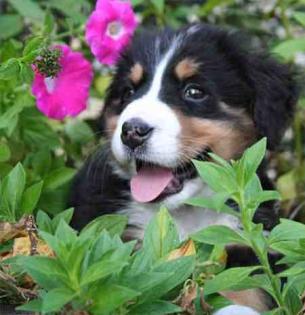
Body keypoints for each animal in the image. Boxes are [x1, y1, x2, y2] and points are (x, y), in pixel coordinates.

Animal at [68, 24, 296, 314]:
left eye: (194, 92)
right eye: (129, 92)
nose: (132, 131)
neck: (187, 214)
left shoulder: (245, 242)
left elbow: (244, 288)